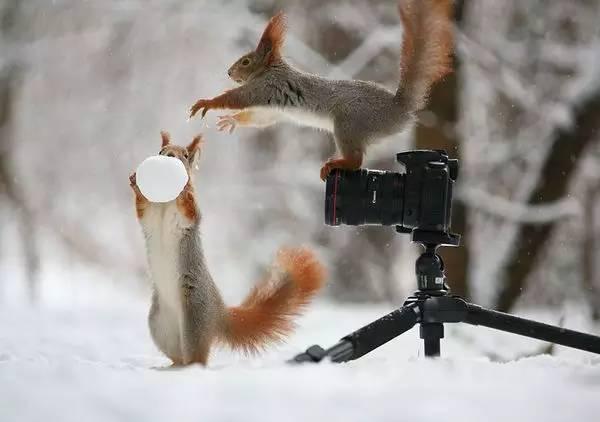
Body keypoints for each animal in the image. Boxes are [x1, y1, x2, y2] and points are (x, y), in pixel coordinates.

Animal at [128, 132, 326, 366]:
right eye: (161, 150)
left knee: (197, 359)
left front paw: (185, 189)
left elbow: (190, 210)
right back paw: (172, 368)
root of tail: (218, 314)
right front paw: (135, 182)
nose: (169, 156)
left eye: (185, 155)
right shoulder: (149, 216)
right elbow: (142, 210)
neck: (166, 203)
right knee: (178, 356)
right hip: (160, 327)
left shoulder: (188, 220)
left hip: (194, 321)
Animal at [190, 0, 452, 180]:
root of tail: (400, 108)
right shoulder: (272, 108)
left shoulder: (266, 87)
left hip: (349, 124)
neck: (269, 70)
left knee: (356, 161)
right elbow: (259, 118)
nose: (228, 72)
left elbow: (238, 97)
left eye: (245, 61)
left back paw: (336, 164)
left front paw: (207, 103)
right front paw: (232, 120)